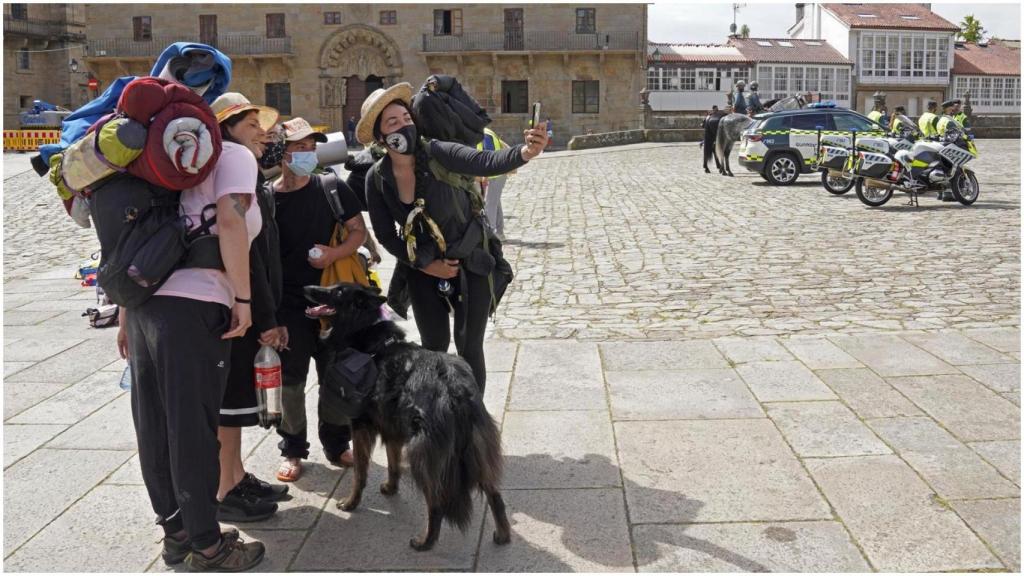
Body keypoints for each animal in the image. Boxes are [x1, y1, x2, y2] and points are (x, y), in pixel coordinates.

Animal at [303, 280, 512, 549]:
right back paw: (503, 535)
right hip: (476, 450)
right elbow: (393, 464)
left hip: (423, 456)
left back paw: (425, 541)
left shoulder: (360, 426)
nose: (307, 288)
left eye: (338, 291)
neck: (364, 330)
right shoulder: (393, 429)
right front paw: (390, 488)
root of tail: (456, 391)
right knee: (494, 494)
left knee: (436, 504)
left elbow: (359, 472)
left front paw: (350, 502)